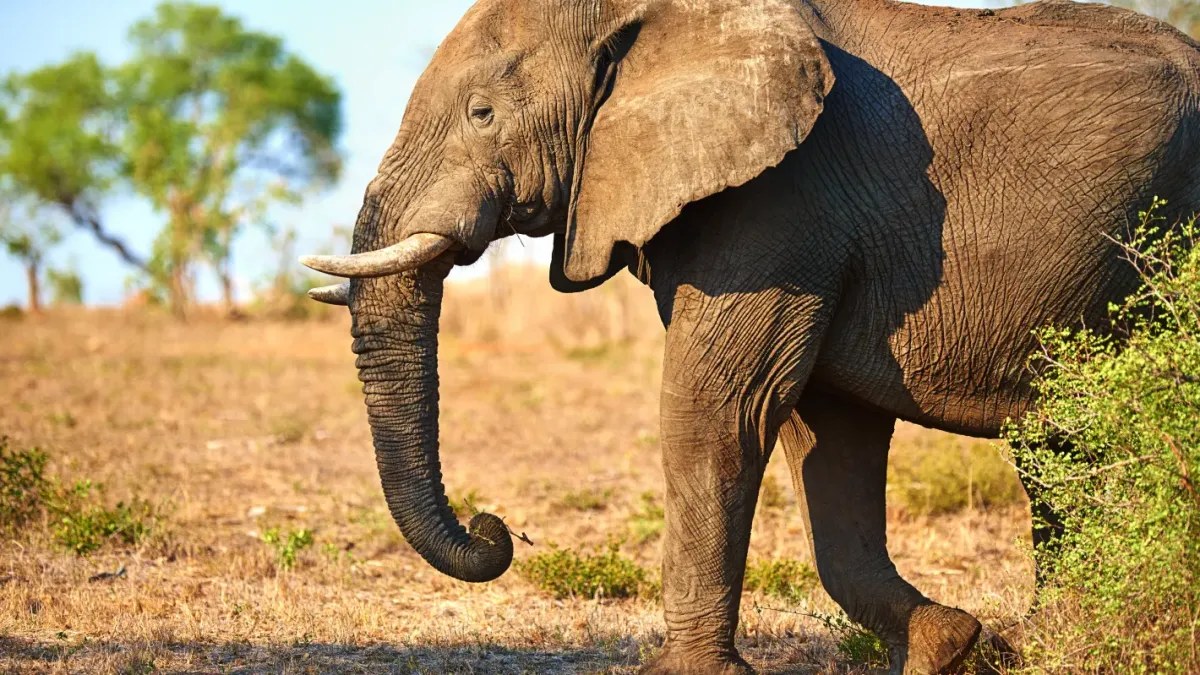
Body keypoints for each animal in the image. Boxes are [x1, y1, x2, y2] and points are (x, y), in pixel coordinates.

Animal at [301, 0, 1200, 672]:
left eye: (483, 114)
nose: (496, 530)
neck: (654, 20)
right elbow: (826, 434)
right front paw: (948, 644)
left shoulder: (783, 199)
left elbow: (720, 408)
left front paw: (689, 672)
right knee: (1060, 445)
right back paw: (1047, 644)